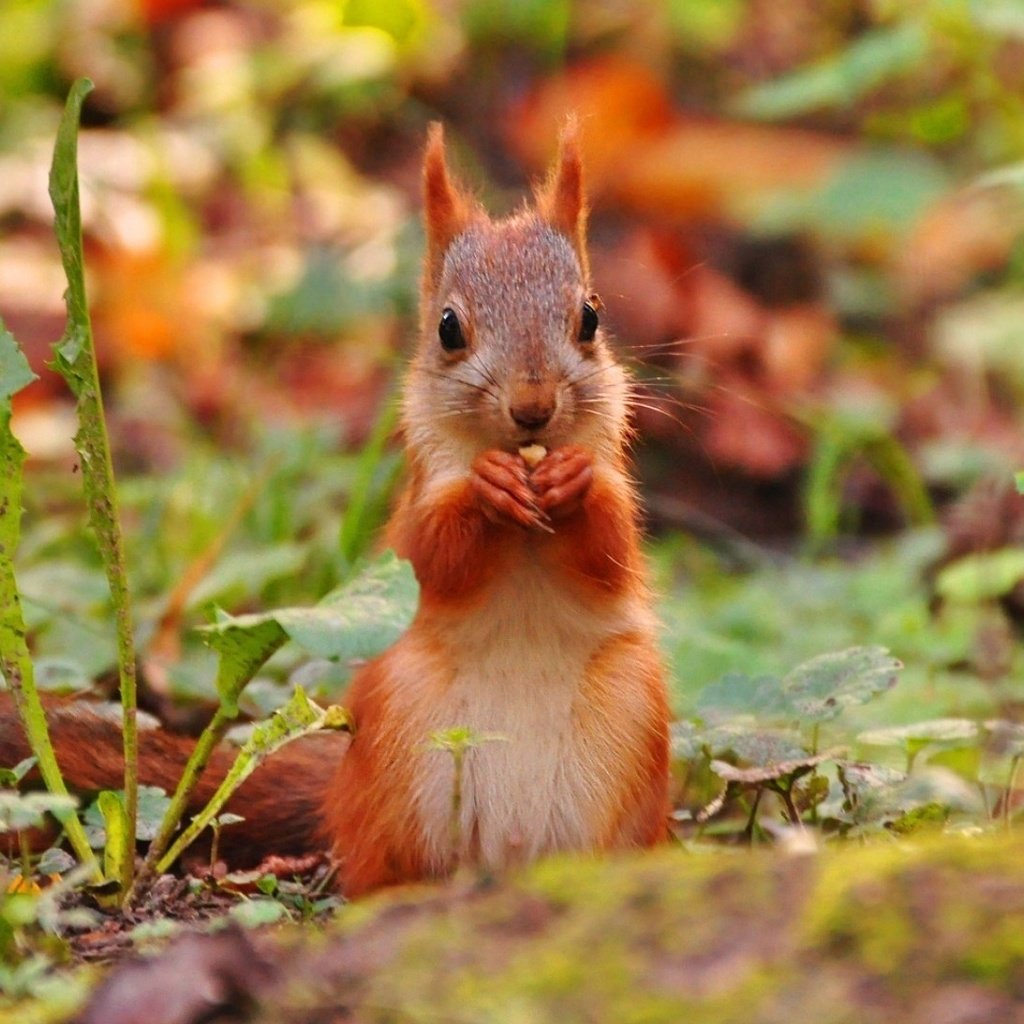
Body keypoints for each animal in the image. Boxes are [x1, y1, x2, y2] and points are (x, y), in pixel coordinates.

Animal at [2, 123, 671, 897]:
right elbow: (433, 554)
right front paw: (486, 489)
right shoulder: (411, 519)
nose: (532, 408)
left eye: (591, 317)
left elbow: (612, 549)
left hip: (631, 722)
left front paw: (574, 482)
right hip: (402, 735)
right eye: (448, 328)